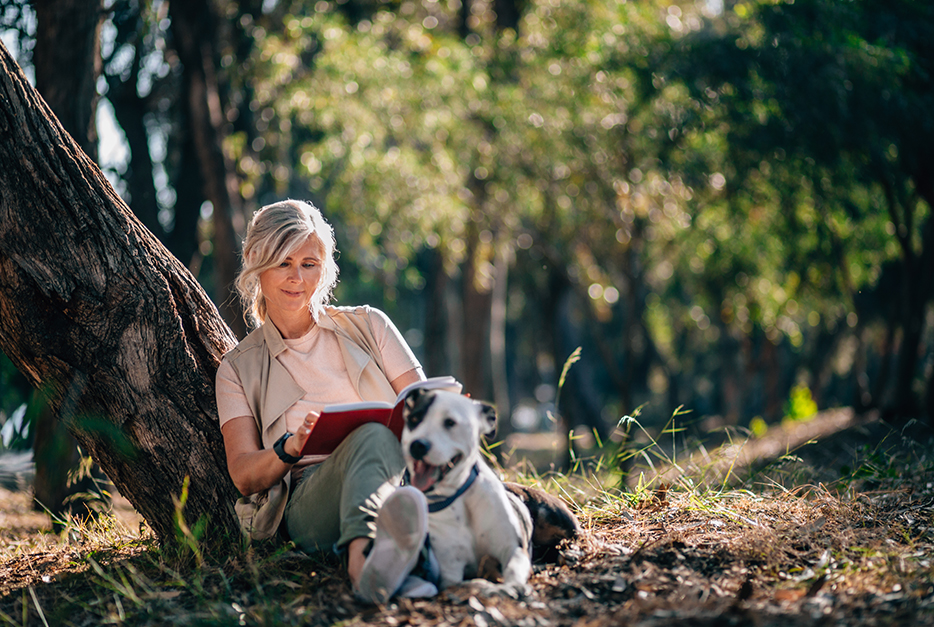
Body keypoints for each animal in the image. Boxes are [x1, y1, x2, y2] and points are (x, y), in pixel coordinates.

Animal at [404, 388, 580, 600]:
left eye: (450, 422)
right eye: (414, 419)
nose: (417, 445)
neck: (459, 497)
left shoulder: (513, 550)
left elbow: (513, 569)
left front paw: (514, 585)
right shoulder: (449, 575)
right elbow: (471, 583)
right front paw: (493, 587)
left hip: (552, 516)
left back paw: (569, 553)